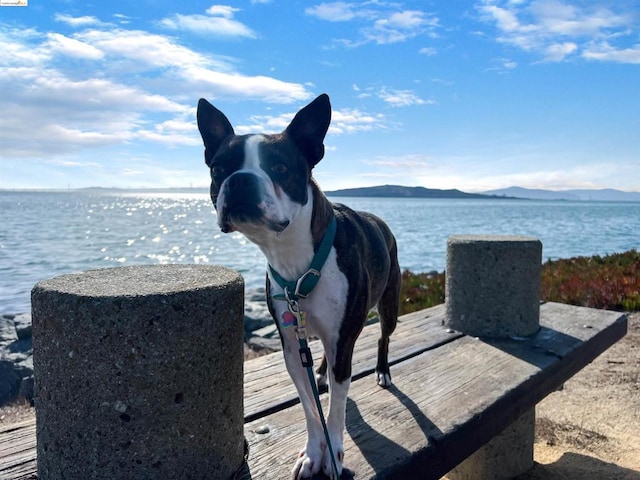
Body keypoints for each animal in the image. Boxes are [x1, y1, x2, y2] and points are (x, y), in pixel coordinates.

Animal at [196, 94, 400, 480]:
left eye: (279, 167)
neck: (293, 256)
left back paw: (381, 370)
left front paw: (333, 455)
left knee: (383, 336)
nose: (240, 180)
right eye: (218, 170)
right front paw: (312, 452)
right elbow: (309, 407)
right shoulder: (291, 347)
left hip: (388, 305)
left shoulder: (343, 343)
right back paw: (319, 373)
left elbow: (335, 410)